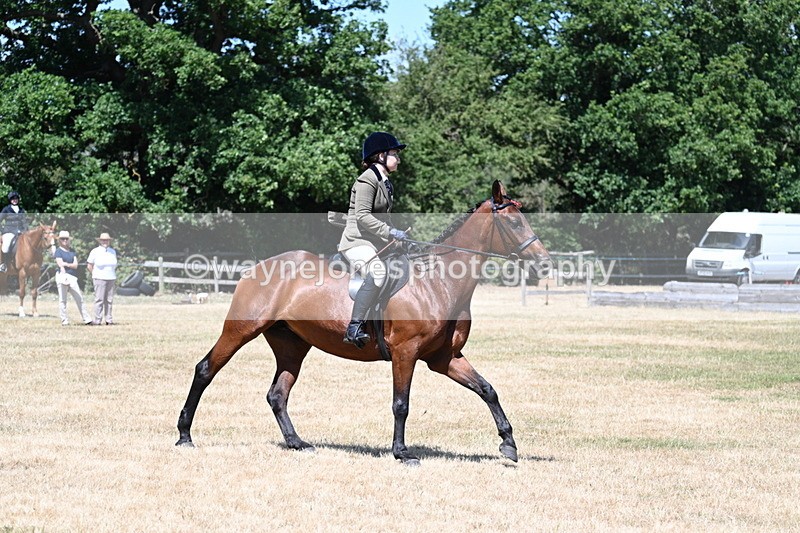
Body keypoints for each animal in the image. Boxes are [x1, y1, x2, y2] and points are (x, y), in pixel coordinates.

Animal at [175, 181, 550, 464]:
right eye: (514, 223)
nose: (545, 263)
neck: (438, 280)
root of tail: (256, 267)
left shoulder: (444, 358)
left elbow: (487, 389)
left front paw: (508, 444)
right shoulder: (405, 352)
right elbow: (401, 404)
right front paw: (401, 453)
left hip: (291, 345)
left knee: (277, 394)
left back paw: (297, 443)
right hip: (241, 330)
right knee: (205, 369)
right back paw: (184, 435)